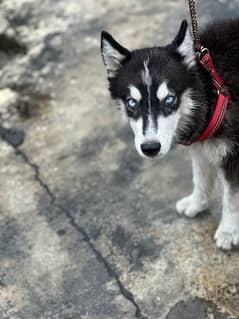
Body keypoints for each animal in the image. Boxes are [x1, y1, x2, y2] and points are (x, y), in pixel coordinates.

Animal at [101, 19, 239, 250]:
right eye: (131, 103)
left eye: (169, 99)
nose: (150, 148)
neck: (212, 91)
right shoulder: (201, 149)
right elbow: (200, 178)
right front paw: (197, 203)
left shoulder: (234, 156)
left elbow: (232, 197)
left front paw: (229, 230)